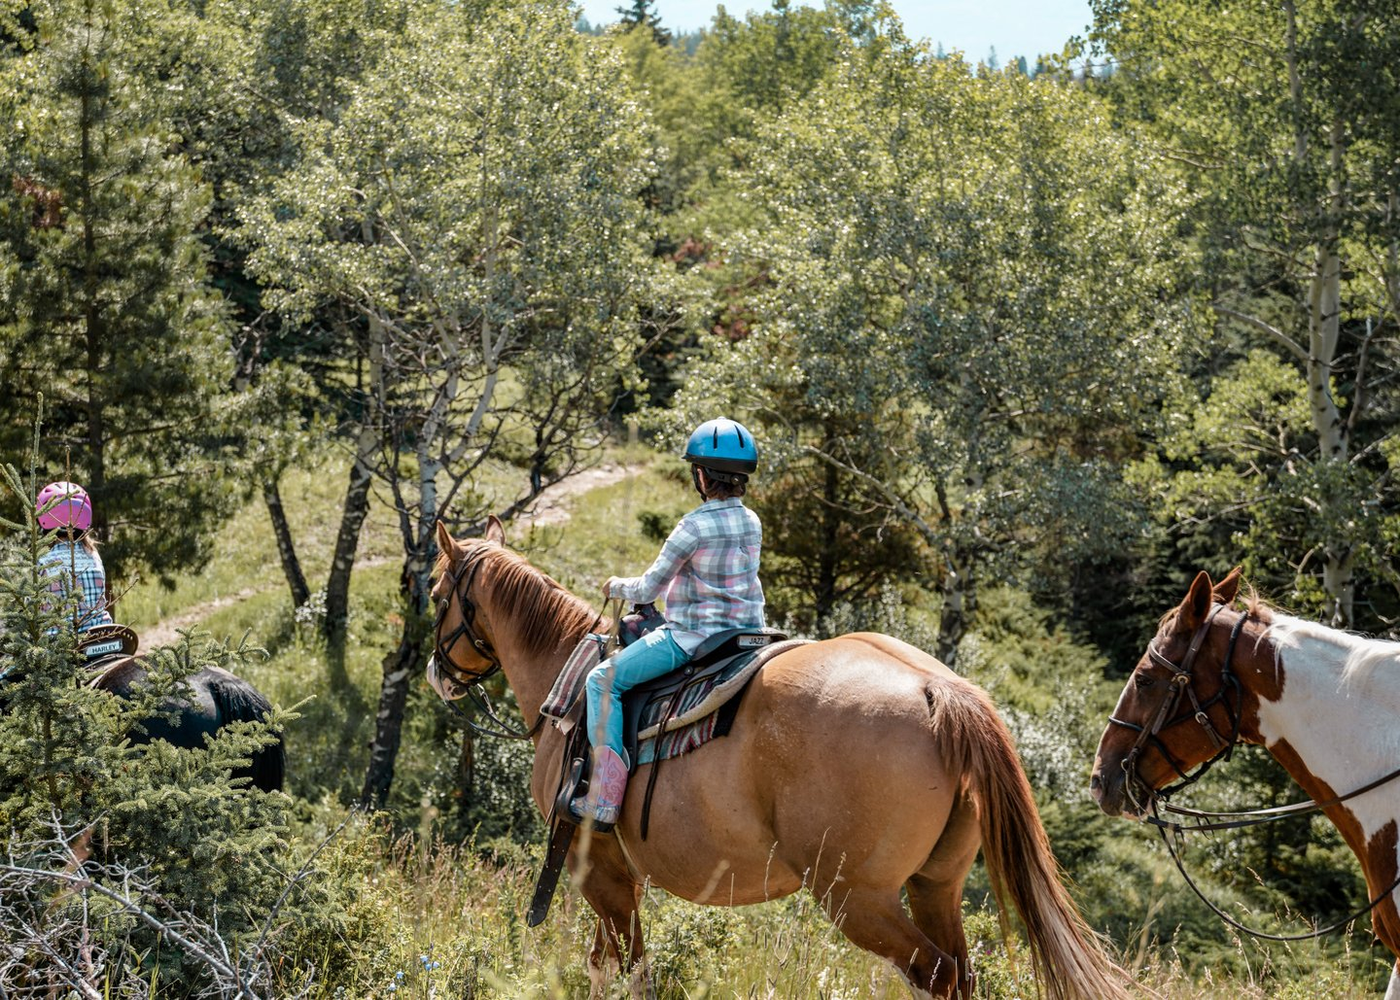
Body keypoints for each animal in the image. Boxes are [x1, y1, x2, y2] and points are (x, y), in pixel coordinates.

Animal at [431, 515, 1131, 997]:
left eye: (436, 593)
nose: (440, 675)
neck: (573, 683)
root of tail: (938, 689)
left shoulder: (598, 869)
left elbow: (629, 971)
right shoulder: (611, 877)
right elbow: (611, 968)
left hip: (858, 898)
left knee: (932, 974)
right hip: (936, 886)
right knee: (956, 975)